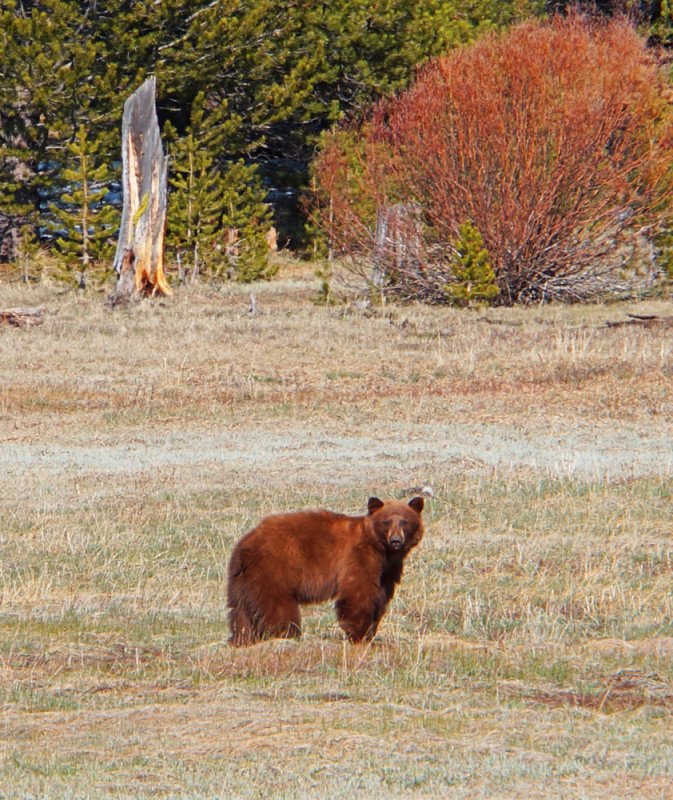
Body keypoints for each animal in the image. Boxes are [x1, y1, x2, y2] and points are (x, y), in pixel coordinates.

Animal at [228, 496, 422, 648]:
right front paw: (358, 635)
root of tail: (243, 544)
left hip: (242, 579)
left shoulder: (388, 570)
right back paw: (287, 635)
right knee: (278, 608)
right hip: (273, 570)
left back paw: (243, 639)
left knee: (240, 612)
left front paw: (370, 632)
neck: (381, 550)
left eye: (404, 521)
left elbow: (380, 596)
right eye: (386, 521)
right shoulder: (357, 557)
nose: (396, 540)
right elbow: (358, 593)